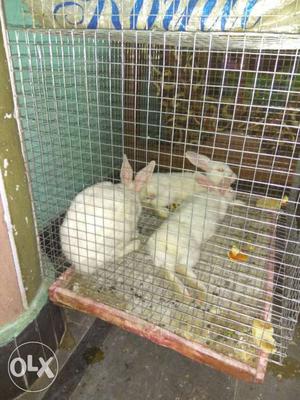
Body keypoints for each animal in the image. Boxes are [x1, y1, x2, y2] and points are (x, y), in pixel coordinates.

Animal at [146, 156, 239, 300]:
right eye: (221, 170)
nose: (234, 193)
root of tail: (160, 246)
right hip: (191, 251)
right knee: (180, 268)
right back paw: (199, 290)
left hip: (170, 260)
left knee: (169, 272)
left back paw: (185, 292)